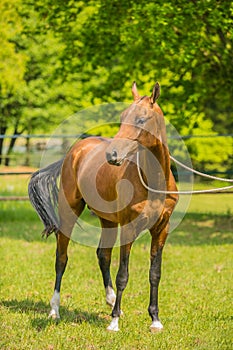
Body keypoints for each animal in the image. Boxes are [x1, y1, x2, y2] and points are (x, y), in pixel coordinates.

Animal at [28, 82, 178, 330]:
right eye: (123, 116)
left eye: (141, 119)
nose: (112, 154)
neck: (154, 181)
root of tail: (74, 151)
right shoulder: (128, 228)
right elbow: (123, 274)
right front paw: (114, 322)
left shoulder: (161, 229)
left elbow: (154, 273)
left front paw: (155, 320)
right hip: (69, 213)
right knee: (61, 258)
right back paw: (54, 310)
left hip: (107, 220)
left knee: (102, 255)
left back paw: (110, 300)